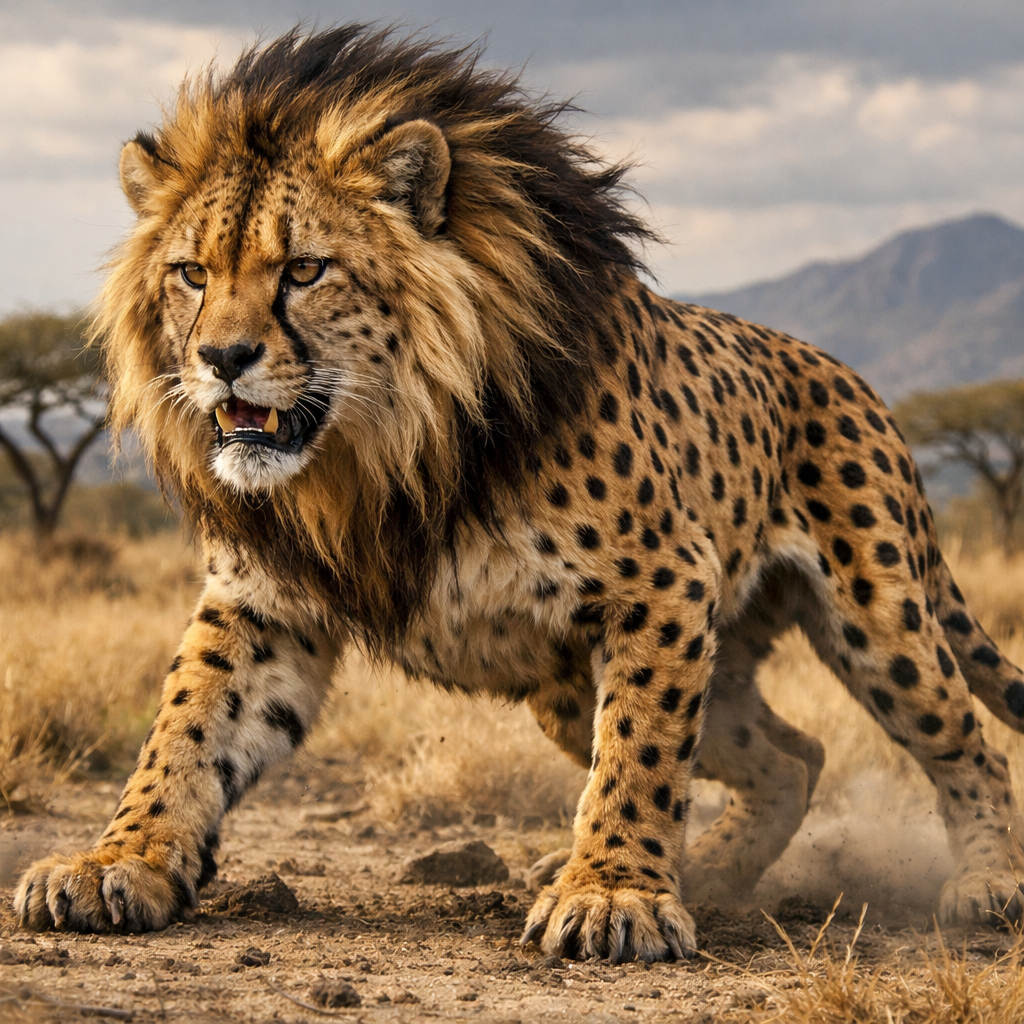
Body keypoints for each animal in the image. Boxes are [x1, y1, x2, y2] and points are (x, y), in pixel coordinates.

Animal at [15, 25, 1024, 962]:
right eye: (191, 274)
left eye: (304, 270)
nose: (223, 360)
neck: (381, 455)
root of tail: (846, 374)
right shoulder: (264, 602)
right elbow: (185, 729)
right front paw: (117, 862)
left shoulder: (663, 584)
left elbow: (641, 756)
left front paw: (613, 893)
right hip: (581, 687)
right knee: (792, 756)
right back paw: (705, 873)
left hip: (877, 621)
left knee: (962, 742)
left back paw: (988, 885)